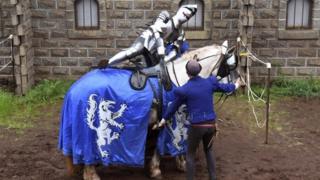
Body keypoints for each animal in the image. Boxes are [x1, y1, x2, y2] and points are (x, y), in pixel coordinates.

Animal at [58, 40, 240, 180]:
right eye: (230, 67)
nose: (240, 84)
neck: (178, 79)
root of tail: (73, 90)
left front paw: (177, 163)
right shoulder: (170, 120)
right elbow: (162, 147)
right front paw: (158, 169)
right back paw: (91, 173)